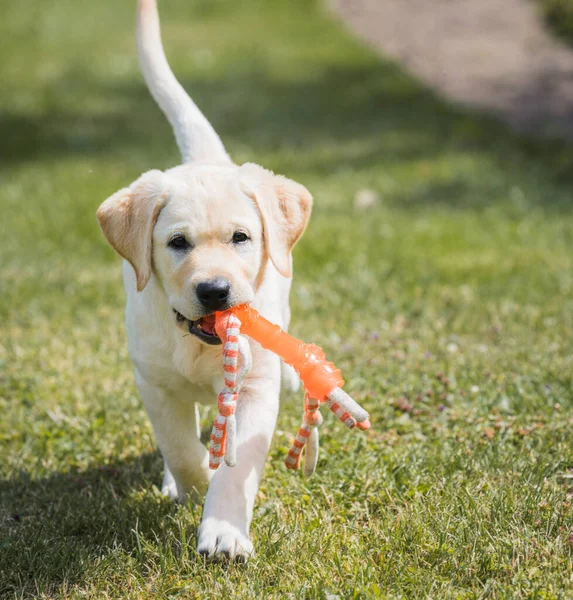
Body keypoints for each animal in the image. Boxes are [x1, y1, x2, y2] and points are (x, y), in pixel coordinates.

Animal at [98, 0, 312, 564]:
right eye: (177, 243)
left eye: (241, 238)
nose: (215, 291)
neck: (196, 341)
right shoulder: (153, 381)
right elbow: (180, 446)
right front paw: (190, 485)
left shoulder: (252, 387)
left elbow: (239, 469)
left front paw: (224, 530)